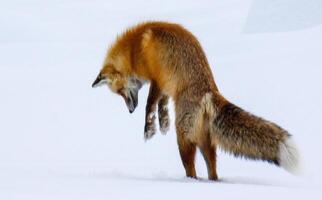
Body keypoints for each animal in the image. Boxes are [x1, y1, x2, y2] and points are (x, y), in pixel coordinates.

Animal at [92, 21, 300, 180]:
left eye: (120, 92)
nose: (130, 110)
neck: (135, 48)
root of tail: (209, 91)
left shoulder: (158, 78)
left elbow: (150, 105)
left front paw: (149, 129)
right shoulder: (166, 86)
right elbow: (162, 105)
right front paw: (164, 124)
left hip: (184, 139)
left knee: (191, 170)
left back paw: (189, 183)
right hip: (205, 142)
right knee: (212, 172)